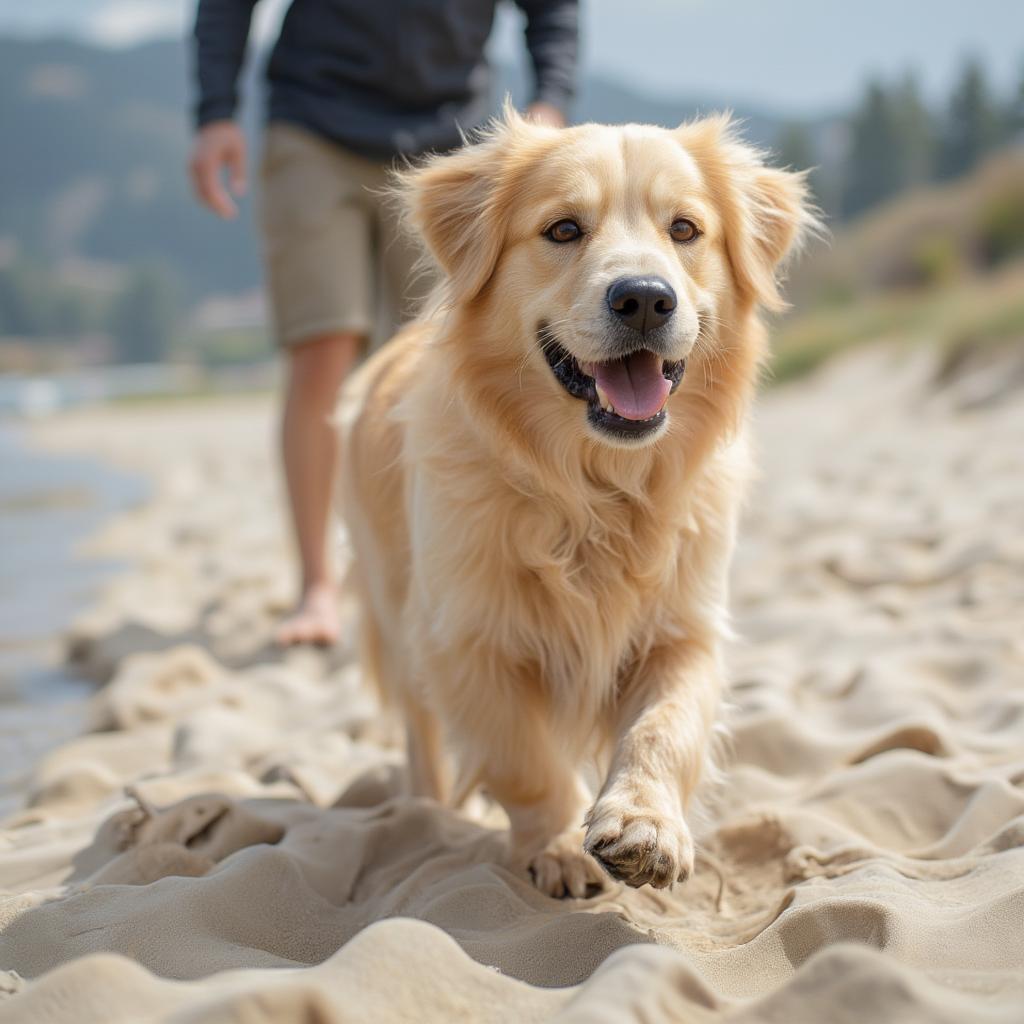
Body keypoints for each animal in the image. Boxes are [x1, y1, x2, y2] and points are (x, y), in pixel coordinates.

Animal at [339, 110, 811, 897]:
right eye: (562, 229)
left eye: (684, 229)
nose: (645, 298)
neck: (595, 490)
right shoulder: (466, 637)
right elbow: (525, 760)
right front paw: (558, 843)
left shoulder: (683, 628)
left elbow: (664, 726)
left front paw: (645, 825)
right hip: (395, 612)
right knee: (422, 738)